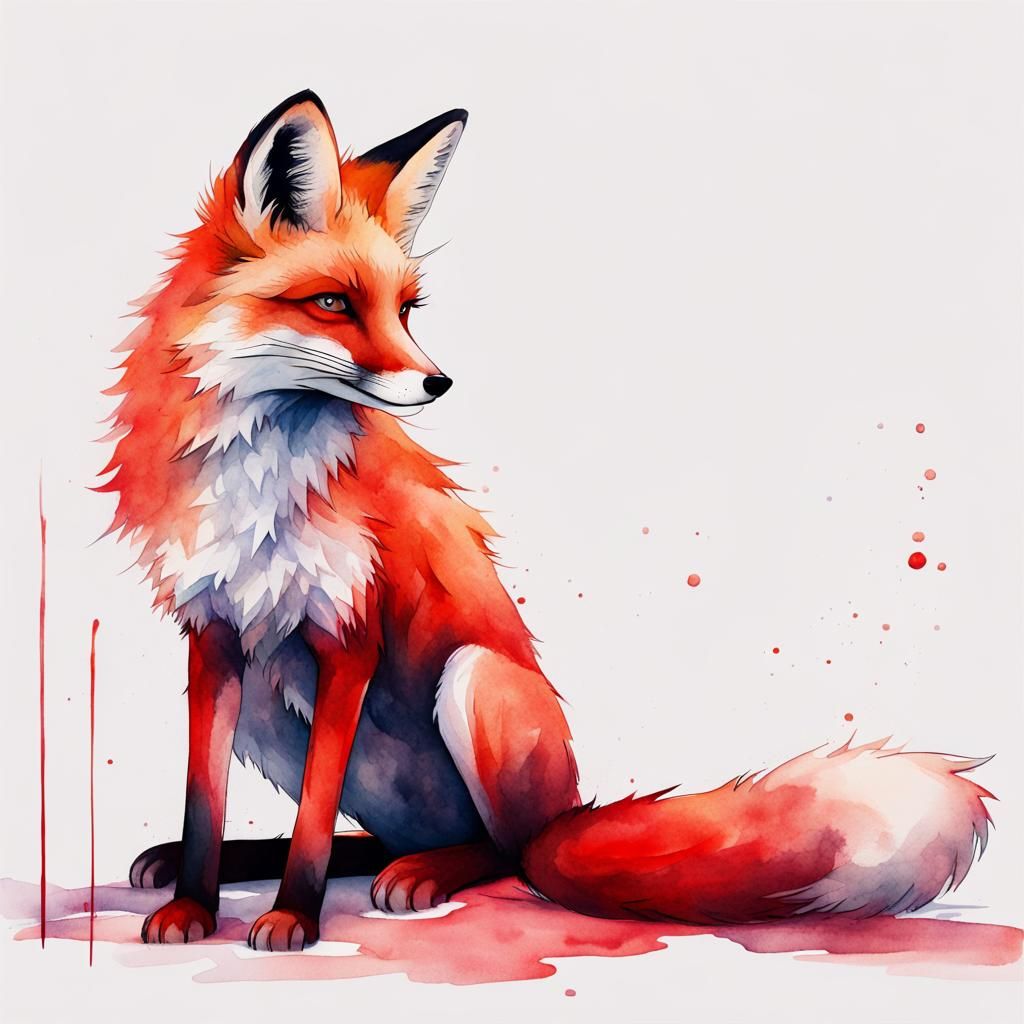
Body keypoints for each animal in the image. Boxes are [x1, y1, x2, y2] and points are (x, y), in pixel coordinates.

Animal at [100, 90, 993, 951]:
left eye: (406, 310)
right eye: (332, 303)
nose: (438, 382)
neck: (263, 481)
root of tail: (564, 815)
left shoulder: (348, 638)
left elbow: (315, 823)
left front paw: (292, 918)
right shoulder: (215, 634)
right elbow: (204, 801)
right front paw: (192, 903)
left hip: (473, 682)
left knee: (501, 852)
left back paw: (429, 871)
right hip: (268, 706)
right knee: (380, 839)